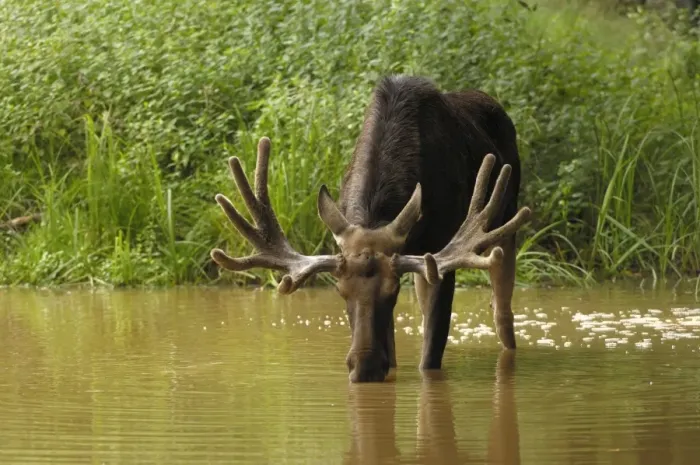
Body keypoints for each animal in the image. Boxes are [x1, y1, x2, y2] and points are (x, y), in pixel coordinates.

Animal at [210, 75, 532, 383]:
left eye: (393, 292)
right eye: (340, 291)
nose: (364, 368)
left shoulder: (439, 258)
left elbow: (430, 358)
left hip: (506, 224)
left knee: (503, 310)